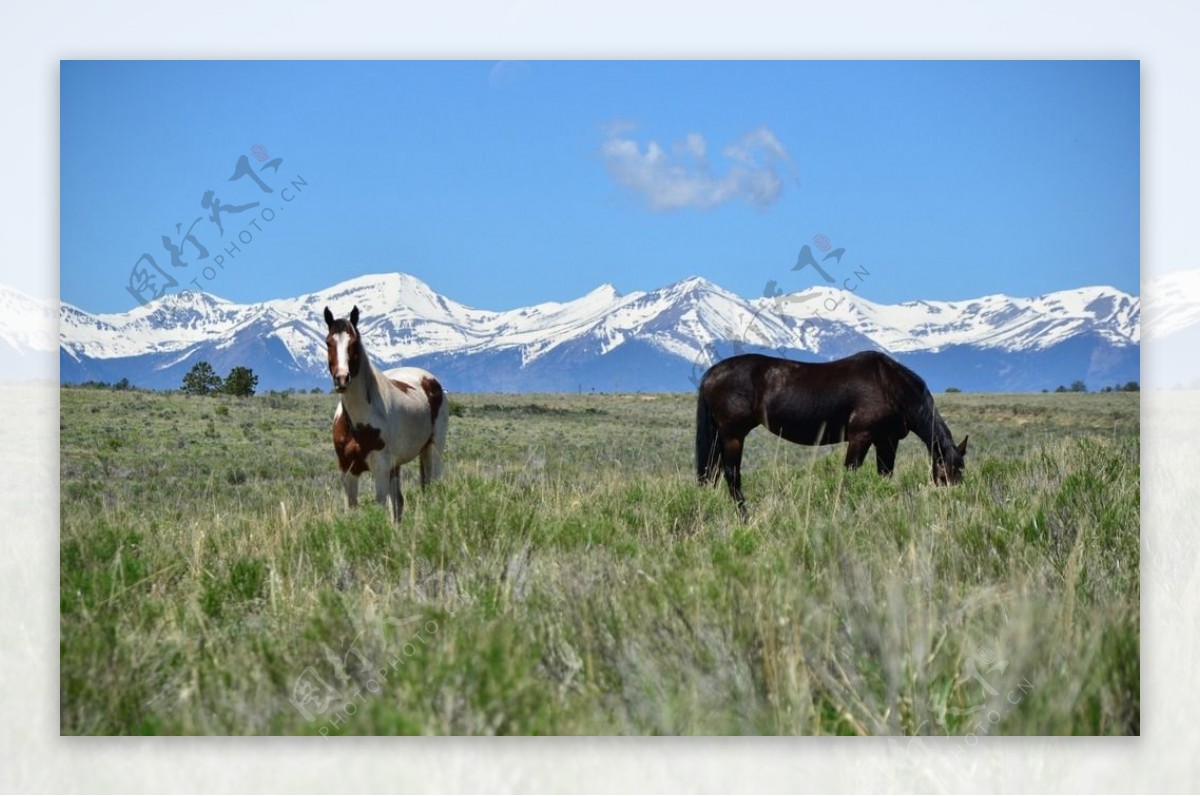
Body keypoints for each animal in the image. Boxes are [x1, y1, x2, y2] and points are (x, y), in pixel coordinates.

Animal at [321, 304, 448, 523]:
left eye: (354, 343)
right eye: (329, 342)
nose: (342, 379)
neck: (357, 424)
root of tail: (430, 380)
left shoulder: (379, 469)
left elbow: (378, 510)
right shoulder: (347, 470)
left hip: (432, 450)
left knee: (431, 489)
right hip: (396, 466)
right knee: (398, 503)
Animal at [696, 350, 964, 513]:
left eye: (961, 471)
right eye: (945, 473)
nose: (954, 503)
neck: (888, 384)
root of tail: (711, 372)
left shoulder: (886, 440)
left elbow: (885, 475)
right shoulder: (861, 437)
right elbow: (850, 473)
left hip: (721, 437)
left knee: (712, 473)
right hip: (733, 436)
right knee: (732, 475)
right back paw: (745, 515)